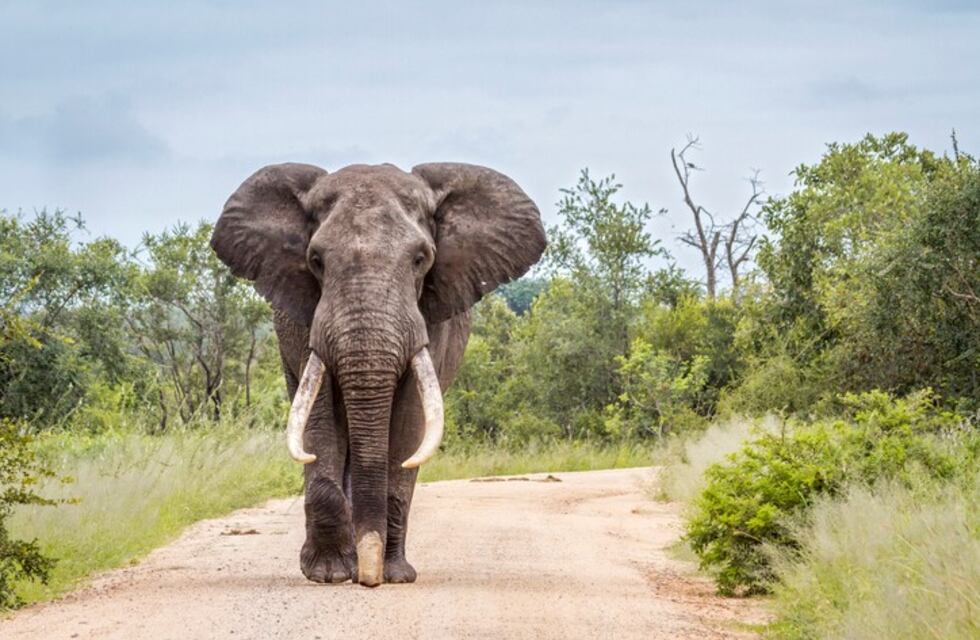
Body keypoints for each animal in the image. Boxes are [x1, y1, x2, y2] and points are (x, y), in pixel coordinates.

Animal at [211, 162, 546, 587]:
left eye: (421, 259)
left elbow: (407, 425)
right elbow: (320, 418)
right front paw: (329, 573)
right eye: (316, 259)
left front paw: (392, 574)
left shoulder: (428, 319)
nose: (369, 579)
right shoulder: (308, 319)